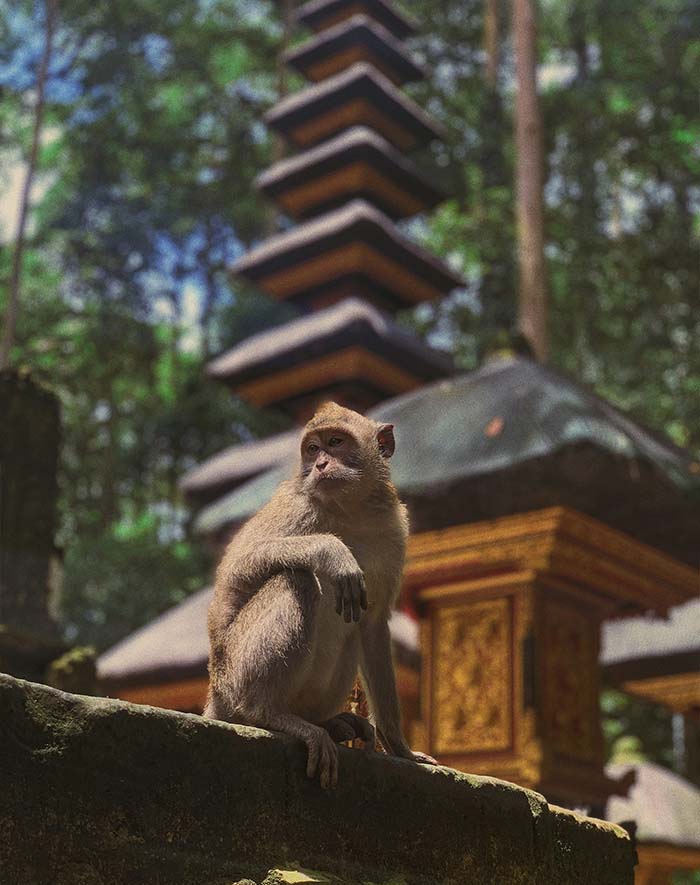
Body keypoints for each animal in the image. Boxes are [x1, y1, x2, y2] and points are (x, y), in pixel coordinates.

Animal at [203, 402, 435, 789]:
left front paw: (400, 747)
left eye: (336, 442)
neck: (351, 508)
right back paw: (267, 714)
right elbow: (237, 567)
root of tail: (215, 690)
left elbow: (374, 625)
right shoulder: (295, 507)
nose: (321, 464)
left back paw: (331, 723)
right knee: (295, 579)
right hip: (234, 671)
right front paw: (331, 551)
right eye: (313, 449)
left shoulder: (394, 530)